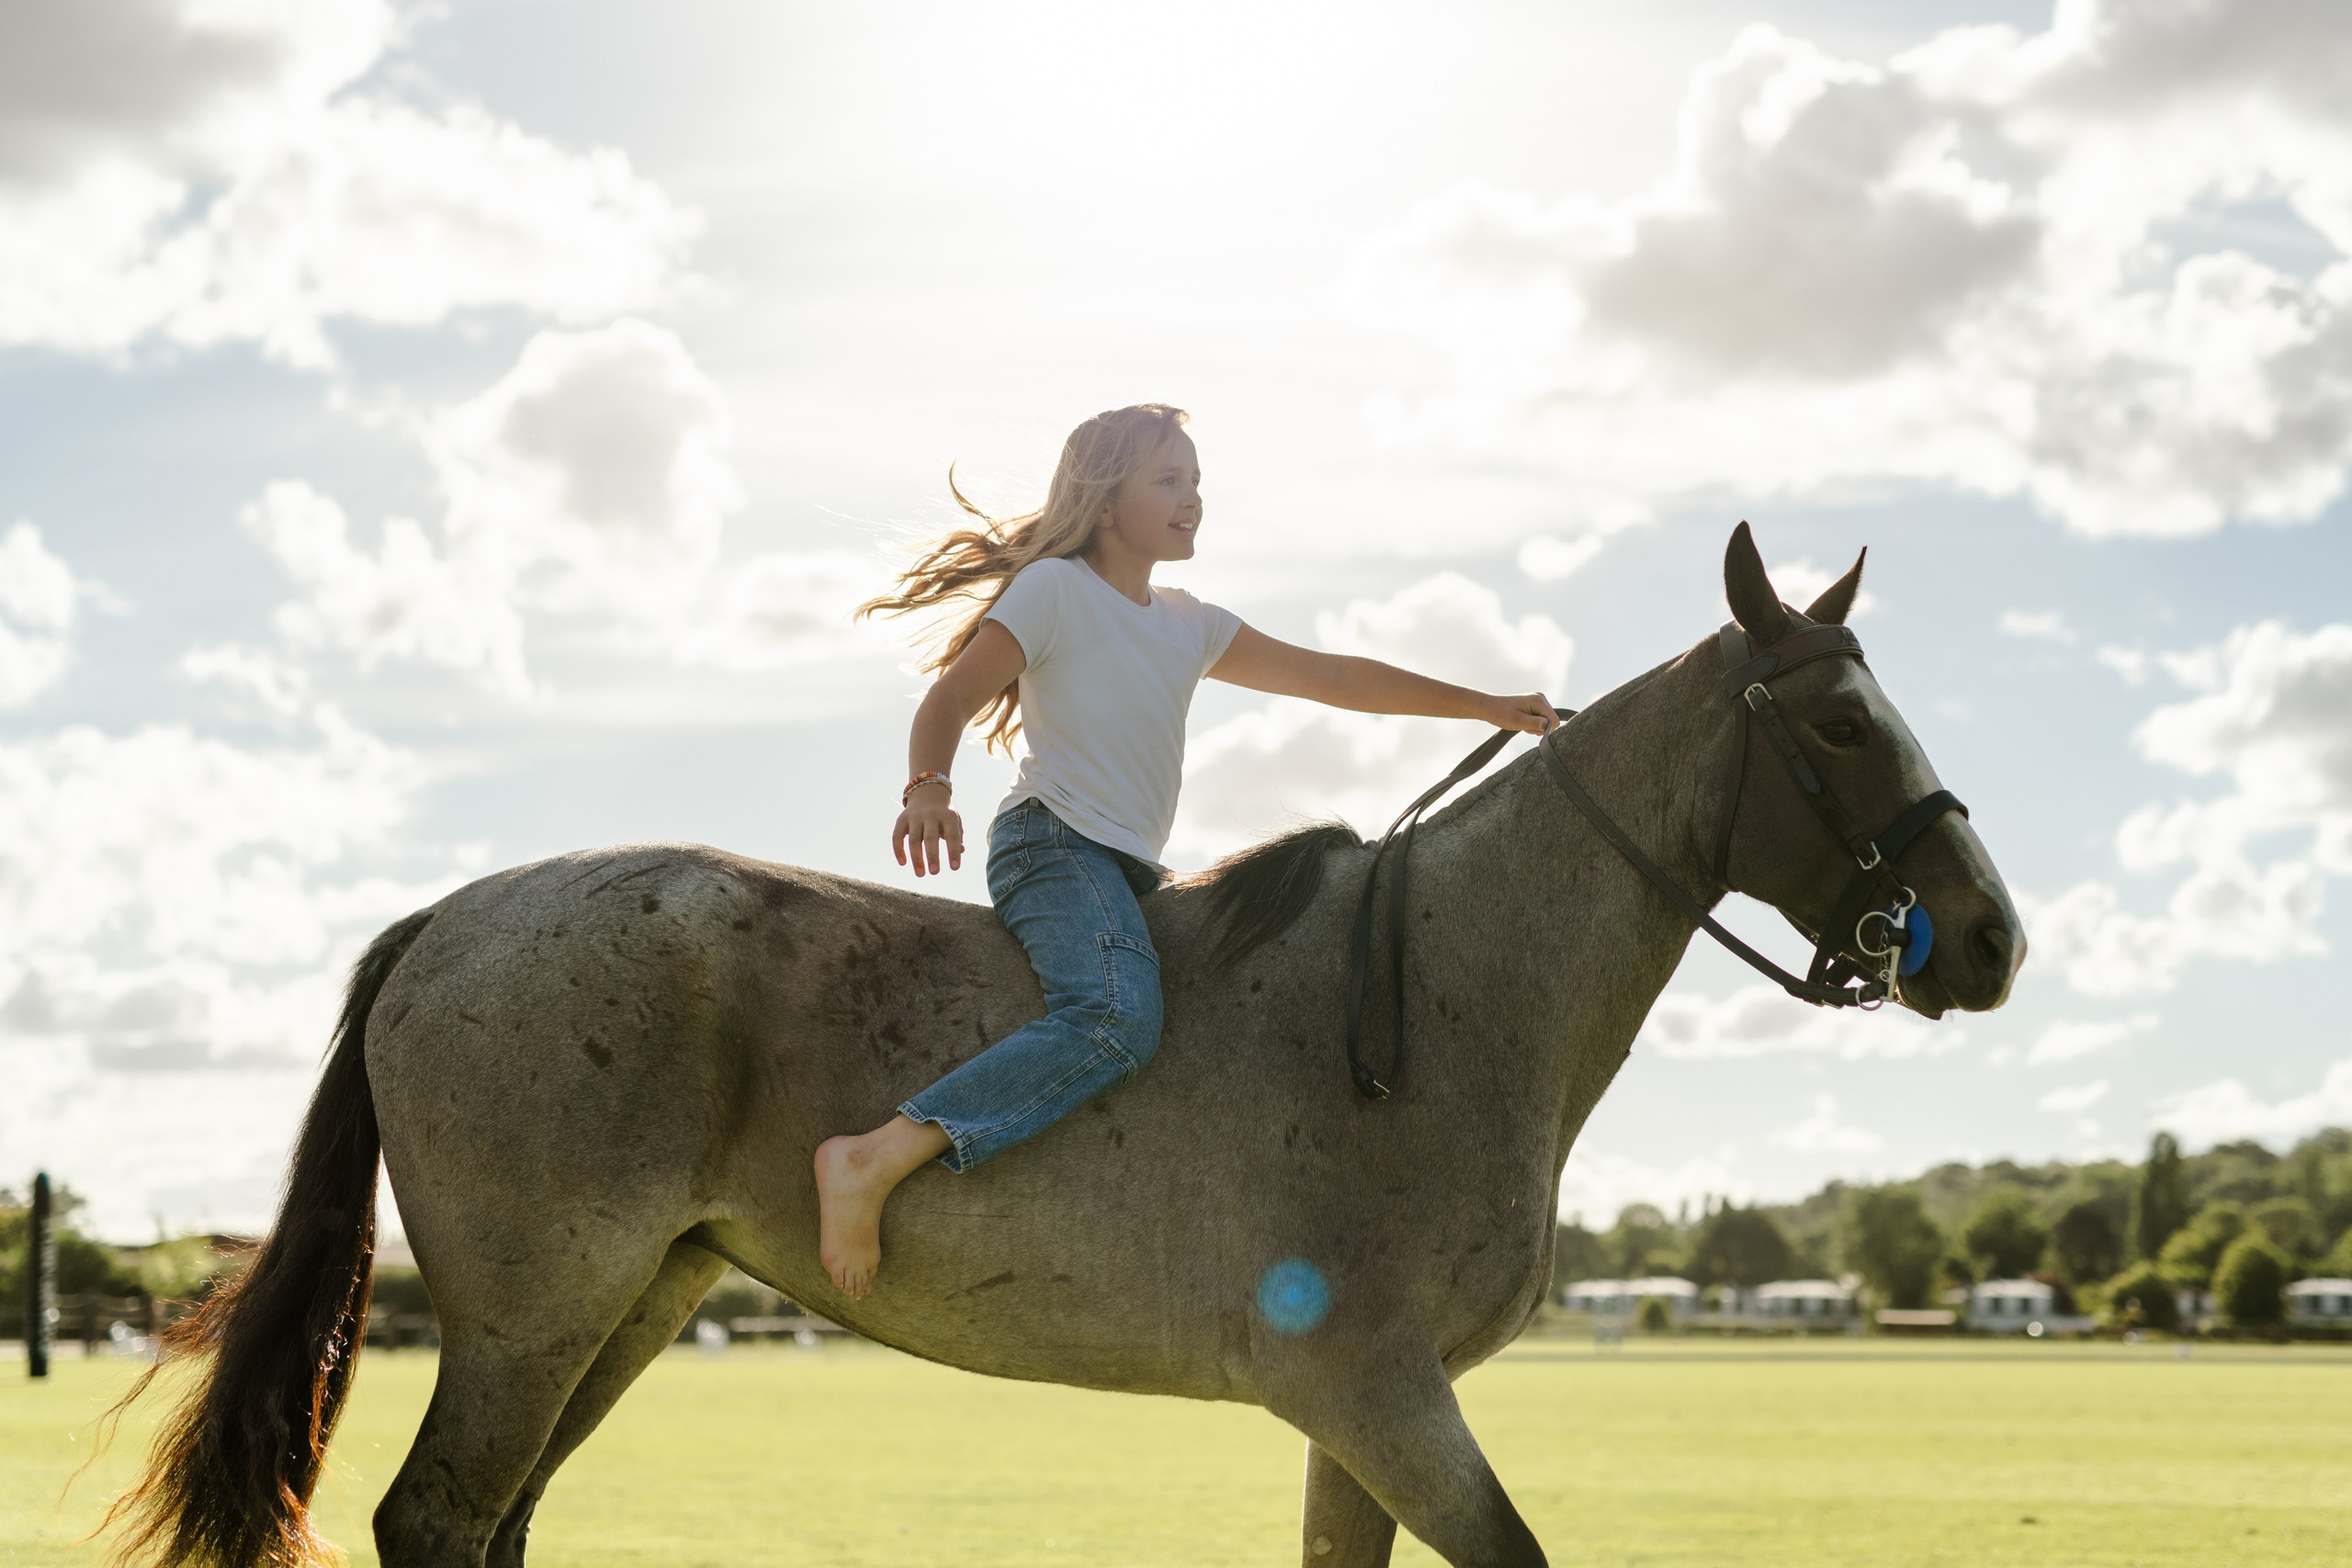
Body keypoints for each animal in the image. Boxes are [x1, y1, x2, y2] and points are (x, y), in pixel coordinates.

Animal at [105, 526, 2022, 1568]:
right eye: (1839, 722)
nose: (1991, 935)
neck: (1445, 998)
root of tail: (451, 915)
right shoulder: (1382, 1392)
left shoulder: (1364, 1415)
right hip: (538, 1306)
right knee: (441, 1516)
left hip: (630, 1301)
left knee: (495, 1520)